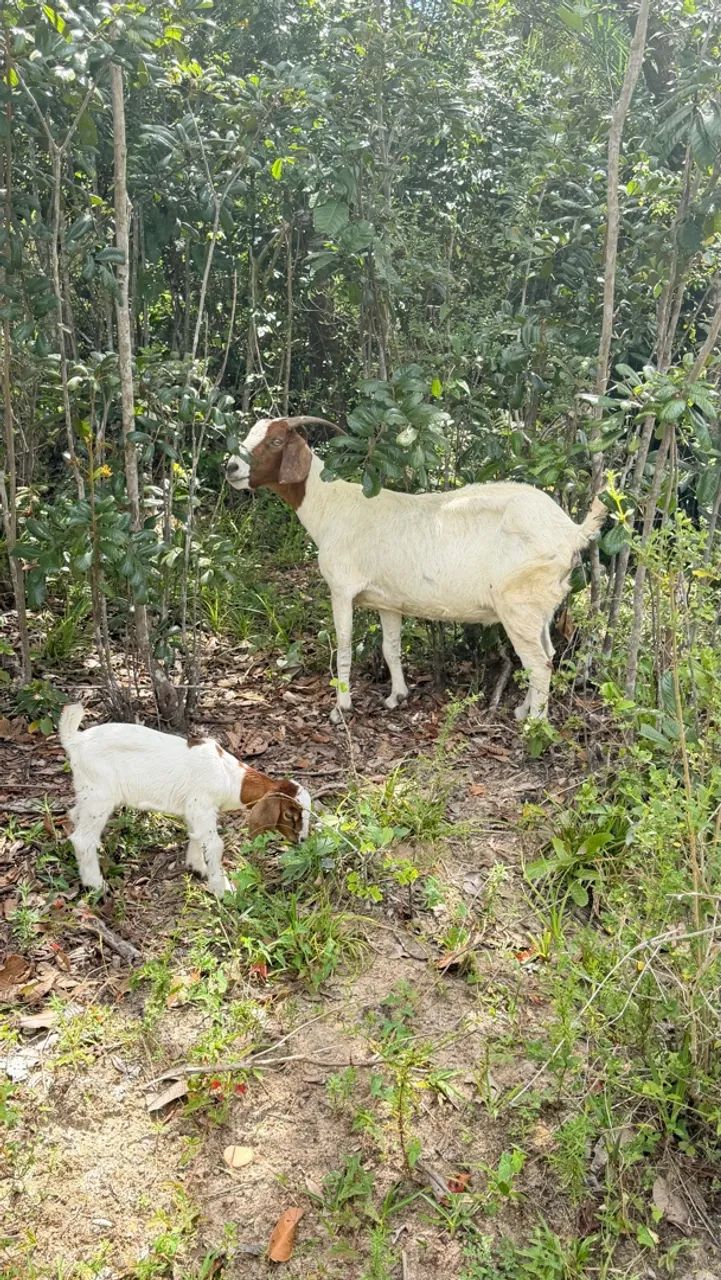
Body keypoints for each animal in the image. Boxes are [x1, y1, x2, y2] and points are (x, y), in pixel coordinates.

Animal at [59, 704, 311, 897]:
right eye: (289, 813)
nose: (302, 840)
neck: (228, 776)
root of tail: (75, 740)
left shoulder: (194, 809)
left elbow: (196, 835)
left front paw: (197, 867)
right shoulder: (202, 806)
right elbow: (215, 844)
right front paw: (222, 888)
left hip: (87, 791)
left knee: (74, 816)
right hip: (100, 795)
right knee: (82, 839)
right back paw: (96, 886)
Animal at [226, 417, 606, 721]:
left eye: (276, 441)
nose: (231, 468)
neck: (331, 507)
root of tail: (570, 531)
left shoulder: (341, 588)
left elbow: (344, 647)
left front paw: (341, 708)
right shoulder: (387, 601)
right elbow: (390, 647)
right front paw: (397, 696)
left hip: (519, 603)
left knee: (539, 664)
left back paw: (535, 725)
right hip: (539, 606)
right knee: (549, 654)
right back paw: (524, 710)